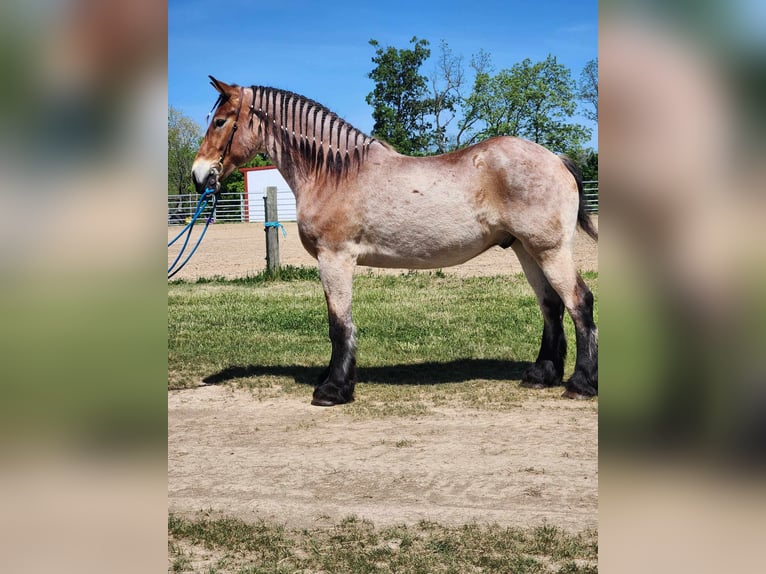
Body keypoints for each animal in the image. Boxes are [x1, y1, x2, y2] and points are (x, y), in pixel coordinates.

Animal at [192, 77, 600, 410]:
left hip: (549, 250)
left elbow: (339, 324)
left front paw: (333, 389)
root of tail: (556, 159)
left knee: (579, 302)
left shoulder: (335, 258)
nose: (199, 175)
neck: (334, 173)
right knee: (551, 306)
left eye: (220, 121)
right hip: (526, 250)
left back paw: (581, 384)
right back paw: (541, 375)